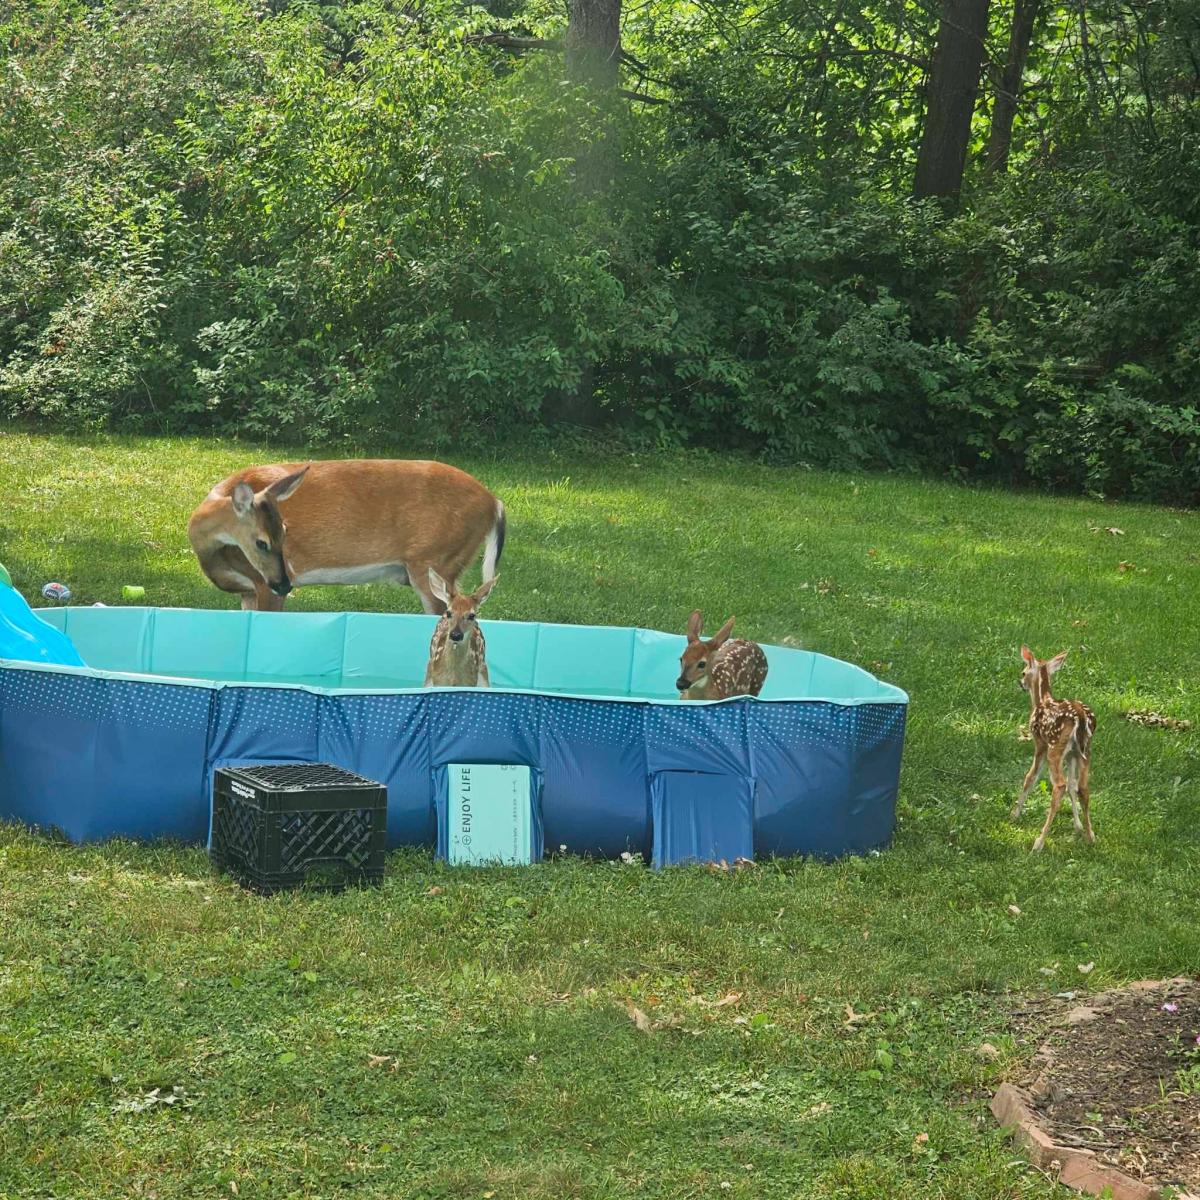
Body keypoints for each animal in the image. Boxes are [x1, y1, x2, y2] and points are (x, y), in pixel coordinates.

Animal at [184, 456, 504, 609]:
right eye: (263, 542)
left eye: (285, 533)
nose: (287, 583)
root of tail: (494, 503)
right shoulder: (248, 591)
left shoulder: (263, 585)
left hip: (434, 561)